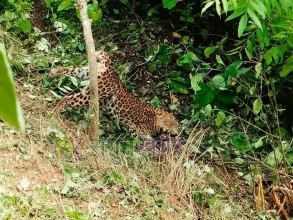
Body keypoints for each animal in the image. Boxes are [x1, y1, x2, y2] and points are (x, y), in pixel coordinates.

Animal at [50, 50, 178, 136]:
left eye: (175, 125)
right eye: (170, 123)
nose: (175, 133)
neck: (154, 118)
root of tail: (111, 69)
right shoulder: (138, 132)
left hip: (86, 72)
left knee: (71, 69)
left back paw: (54, 72)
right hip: (96, 92)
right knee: (67, 97)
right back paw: (55, 113)